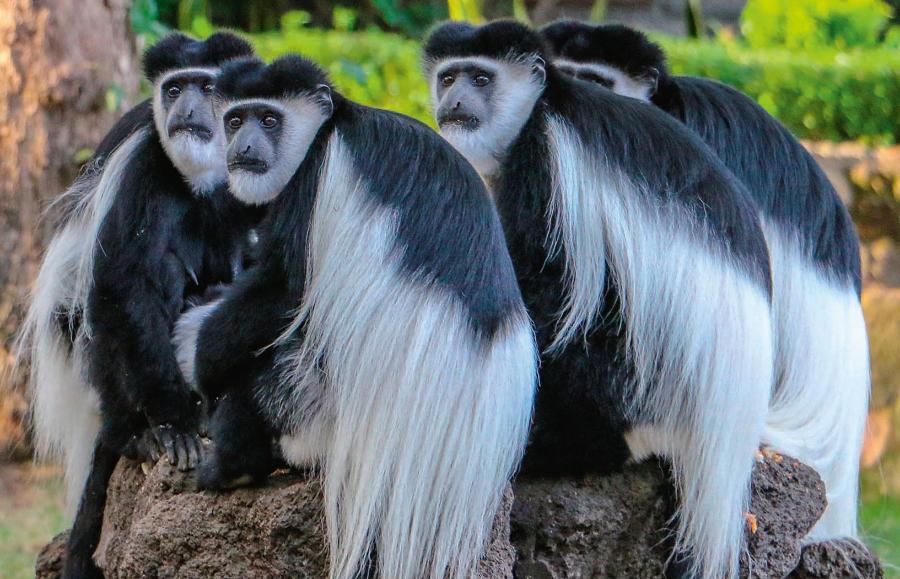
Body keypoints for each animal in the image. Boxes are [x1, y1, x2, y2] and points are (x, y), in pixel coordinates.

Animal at [19, 32, 258, 579]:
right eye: (173, 89)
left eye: (206, 87)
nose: (186, 110)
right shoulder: (144, 163)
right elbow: (122, 285)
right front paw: (174, 426)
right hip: (92, 362)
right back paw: (140, 433)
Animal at [176, 55, 536, 579]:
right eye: (235, 119)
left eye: (269, 120)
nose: (243, 148)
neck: (328, 128)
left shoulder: (313, 181)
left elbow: (285, 289)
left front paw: (203, 371)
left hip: (320, 410)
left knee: (265, 369)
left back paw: (230, 466)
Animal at [426, 21, 776, 579]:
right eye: (448, 77)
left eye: (481, 78)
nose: (455, 102)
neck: (541, 104)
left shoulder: (547, 154)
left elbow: (548, 276)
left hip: (642, 380)